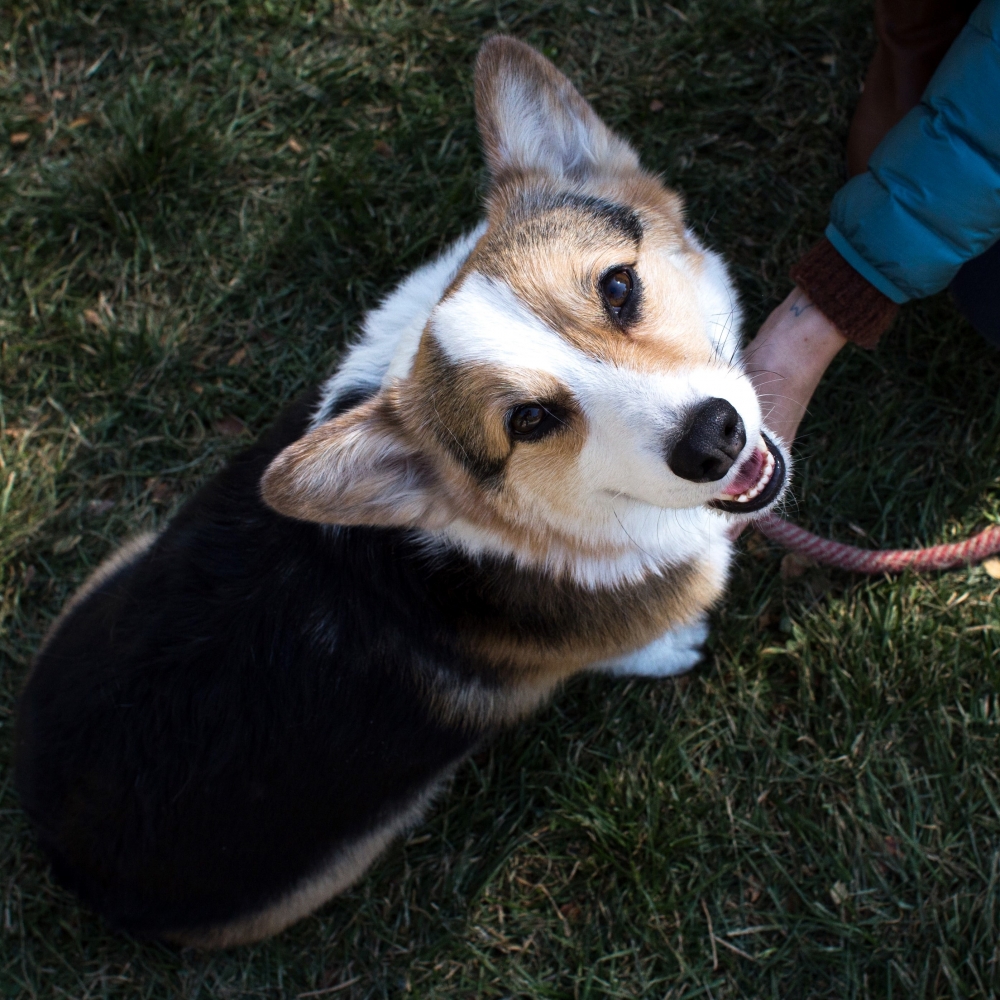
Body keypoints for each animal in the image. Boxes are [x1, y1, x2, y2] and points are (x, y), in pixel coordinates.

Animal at [11, 37, 784, 944]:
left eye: (618, 287)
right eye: (527, 420)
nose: (713, 437)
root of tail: (62, 853)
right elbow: (626, 649)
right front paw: (672, 647)